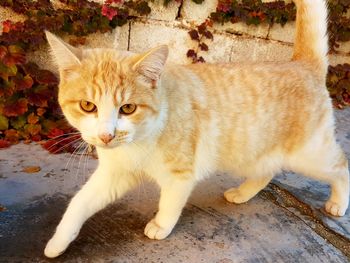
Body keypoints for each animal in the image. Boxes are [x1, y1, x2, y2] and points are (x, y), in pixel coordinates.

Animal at [45, 0, 348, 260]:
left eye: (128, 108)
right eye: (88, 106)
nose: (106, 135)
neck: (141, 138)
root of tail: (300, 63)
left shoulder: (180, 175)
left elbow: (170, 202)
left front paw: (161, 225)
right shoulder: (115, 173)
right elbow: (80, 202)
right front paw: (58, 240)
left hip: (308, 155)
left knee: (341, 166)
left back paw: (338, 203)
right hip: (251, 153)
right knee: (267, 171)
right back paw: (243, 193)